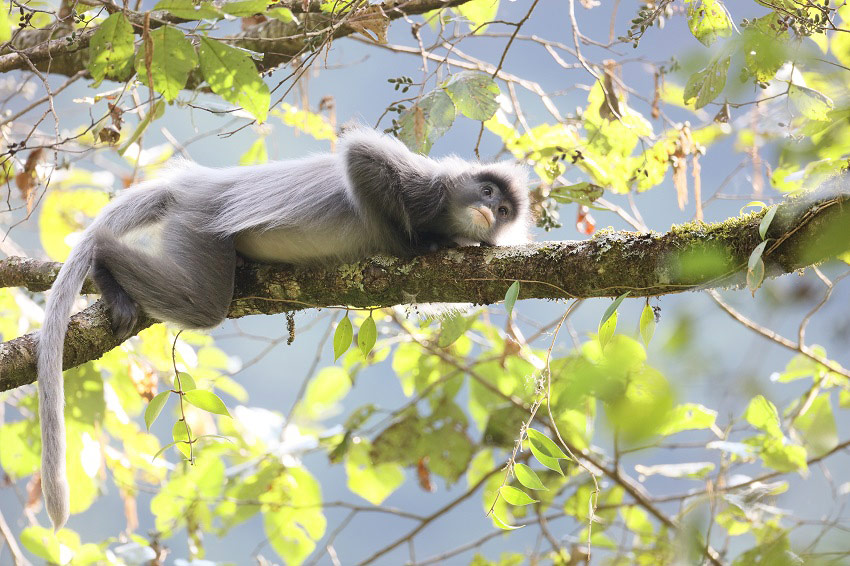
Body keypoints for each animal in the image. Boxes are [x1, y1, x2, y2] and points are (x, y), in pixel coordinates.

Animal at [39, 126, 528, 532]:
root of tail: (197, 182)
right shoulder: (426, 186)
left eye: (503, 208)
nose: (489, 210)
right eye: (485, 191)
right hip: (198, 220)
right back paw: (103, 259)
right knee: (203, 305)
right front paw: (416, 241)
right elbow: (361, 155)